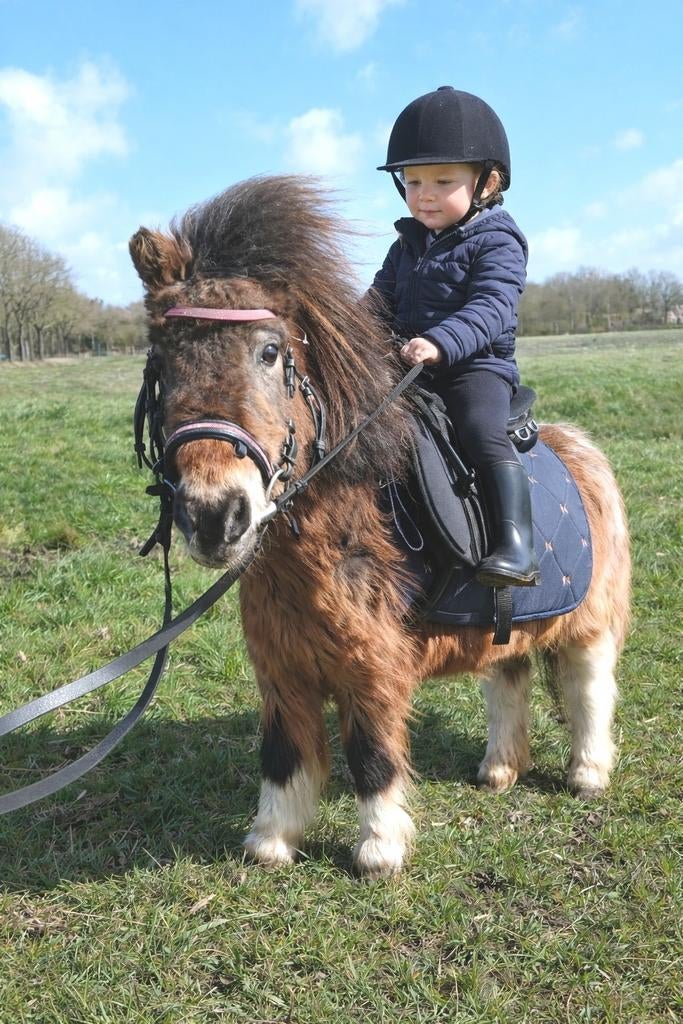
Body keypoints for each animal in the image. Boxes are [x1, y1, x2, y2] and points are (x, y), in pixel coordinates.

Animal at [129, 176, 631, 878]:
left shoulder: (371, 665)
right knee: (509, 679)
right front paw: (271, 842)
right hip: (508, 629)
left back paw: (587, 774)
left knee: (589, 690)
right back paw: (499, 770)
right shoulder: (281, 669)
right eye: (161, 363)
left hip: (590, 624)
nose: (214, 514)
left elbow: (371, 755)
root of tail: (580, 446)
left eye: (270, 352)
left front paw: (379, 851)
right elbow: (283, 755)